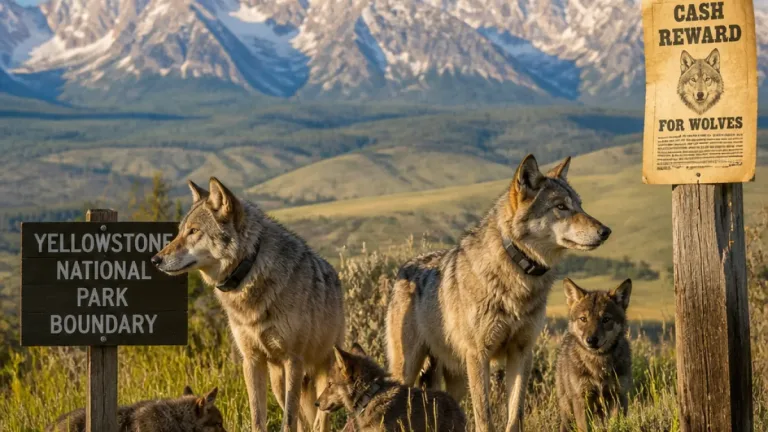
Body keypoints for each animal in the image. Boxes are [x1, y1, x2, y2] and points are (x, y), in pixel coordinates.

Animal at [151, 178, 345, 432]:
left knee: (318, 421)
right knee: (303, 420)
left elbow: (288, 421)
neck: (250, 268)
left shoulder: (293, 360)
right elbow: (258, 419)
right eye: (180, 232)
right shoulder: (251, 360)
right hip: (277, 381)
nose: (155, 259)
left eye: (194, 231)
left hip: (320, 376)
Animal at [385, 154, 612, 432]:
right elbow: (485, 418)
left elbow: (515, 415)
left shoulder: (522, 352)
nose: (606, 231)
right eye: (561, 206)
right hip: (408, 370)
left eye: (580, 205)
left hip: (456, 379)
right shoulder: (479, 355)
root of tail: (405, 267)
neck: (517, 272)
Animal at [555, 278, 632, 432]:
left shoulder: (618, 397)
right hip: (568, 410)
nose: (591, 340)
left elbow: (616, 426)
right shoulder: (582, 399)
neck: (598, 363)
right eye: (583, 319)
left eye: (606, 319)